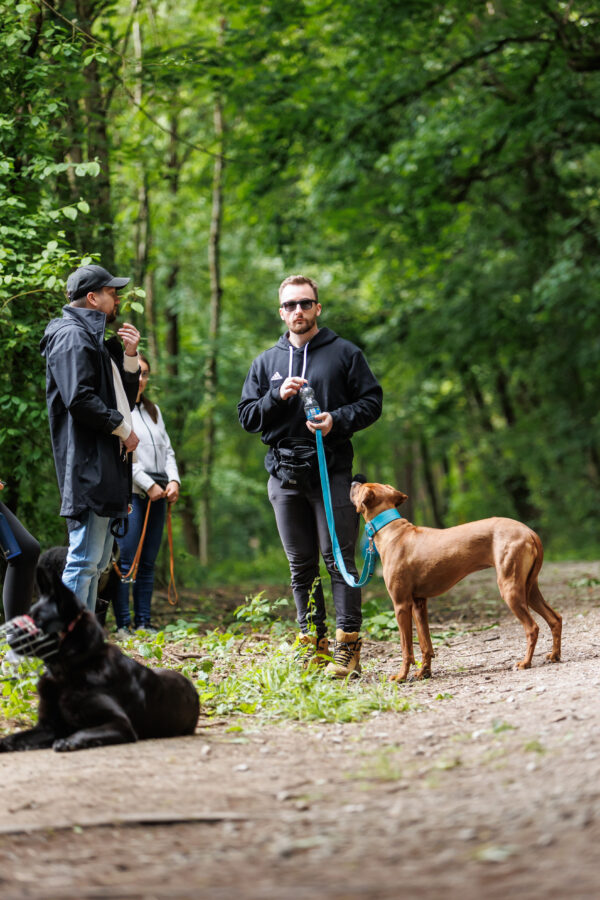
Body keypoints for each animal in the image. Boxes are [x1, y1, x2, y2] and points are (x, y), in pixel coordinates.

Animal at [0, 564, 202, 752]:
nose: (9, 636)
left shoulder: (121, 724)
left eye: (38, 620)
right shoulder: (47, 727)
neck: (70, 668)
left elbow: (84, 731)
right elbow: (12, 738)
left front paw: (68, 741)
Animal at [352, 486, 564, 684]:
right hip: (529, 589)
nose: (353, 481)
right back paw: (555, 655)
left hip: (510, 589)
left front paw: (401, 676)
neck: (393, 531)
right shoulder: (419, 603)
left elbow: (407, 648)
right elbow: (425, 644)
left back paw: (525, 663)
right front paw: (424, 673)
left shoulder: (401, 605)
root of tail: (529, 531)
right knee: (555, 619)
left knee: (532, 627)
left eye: (359, 486)